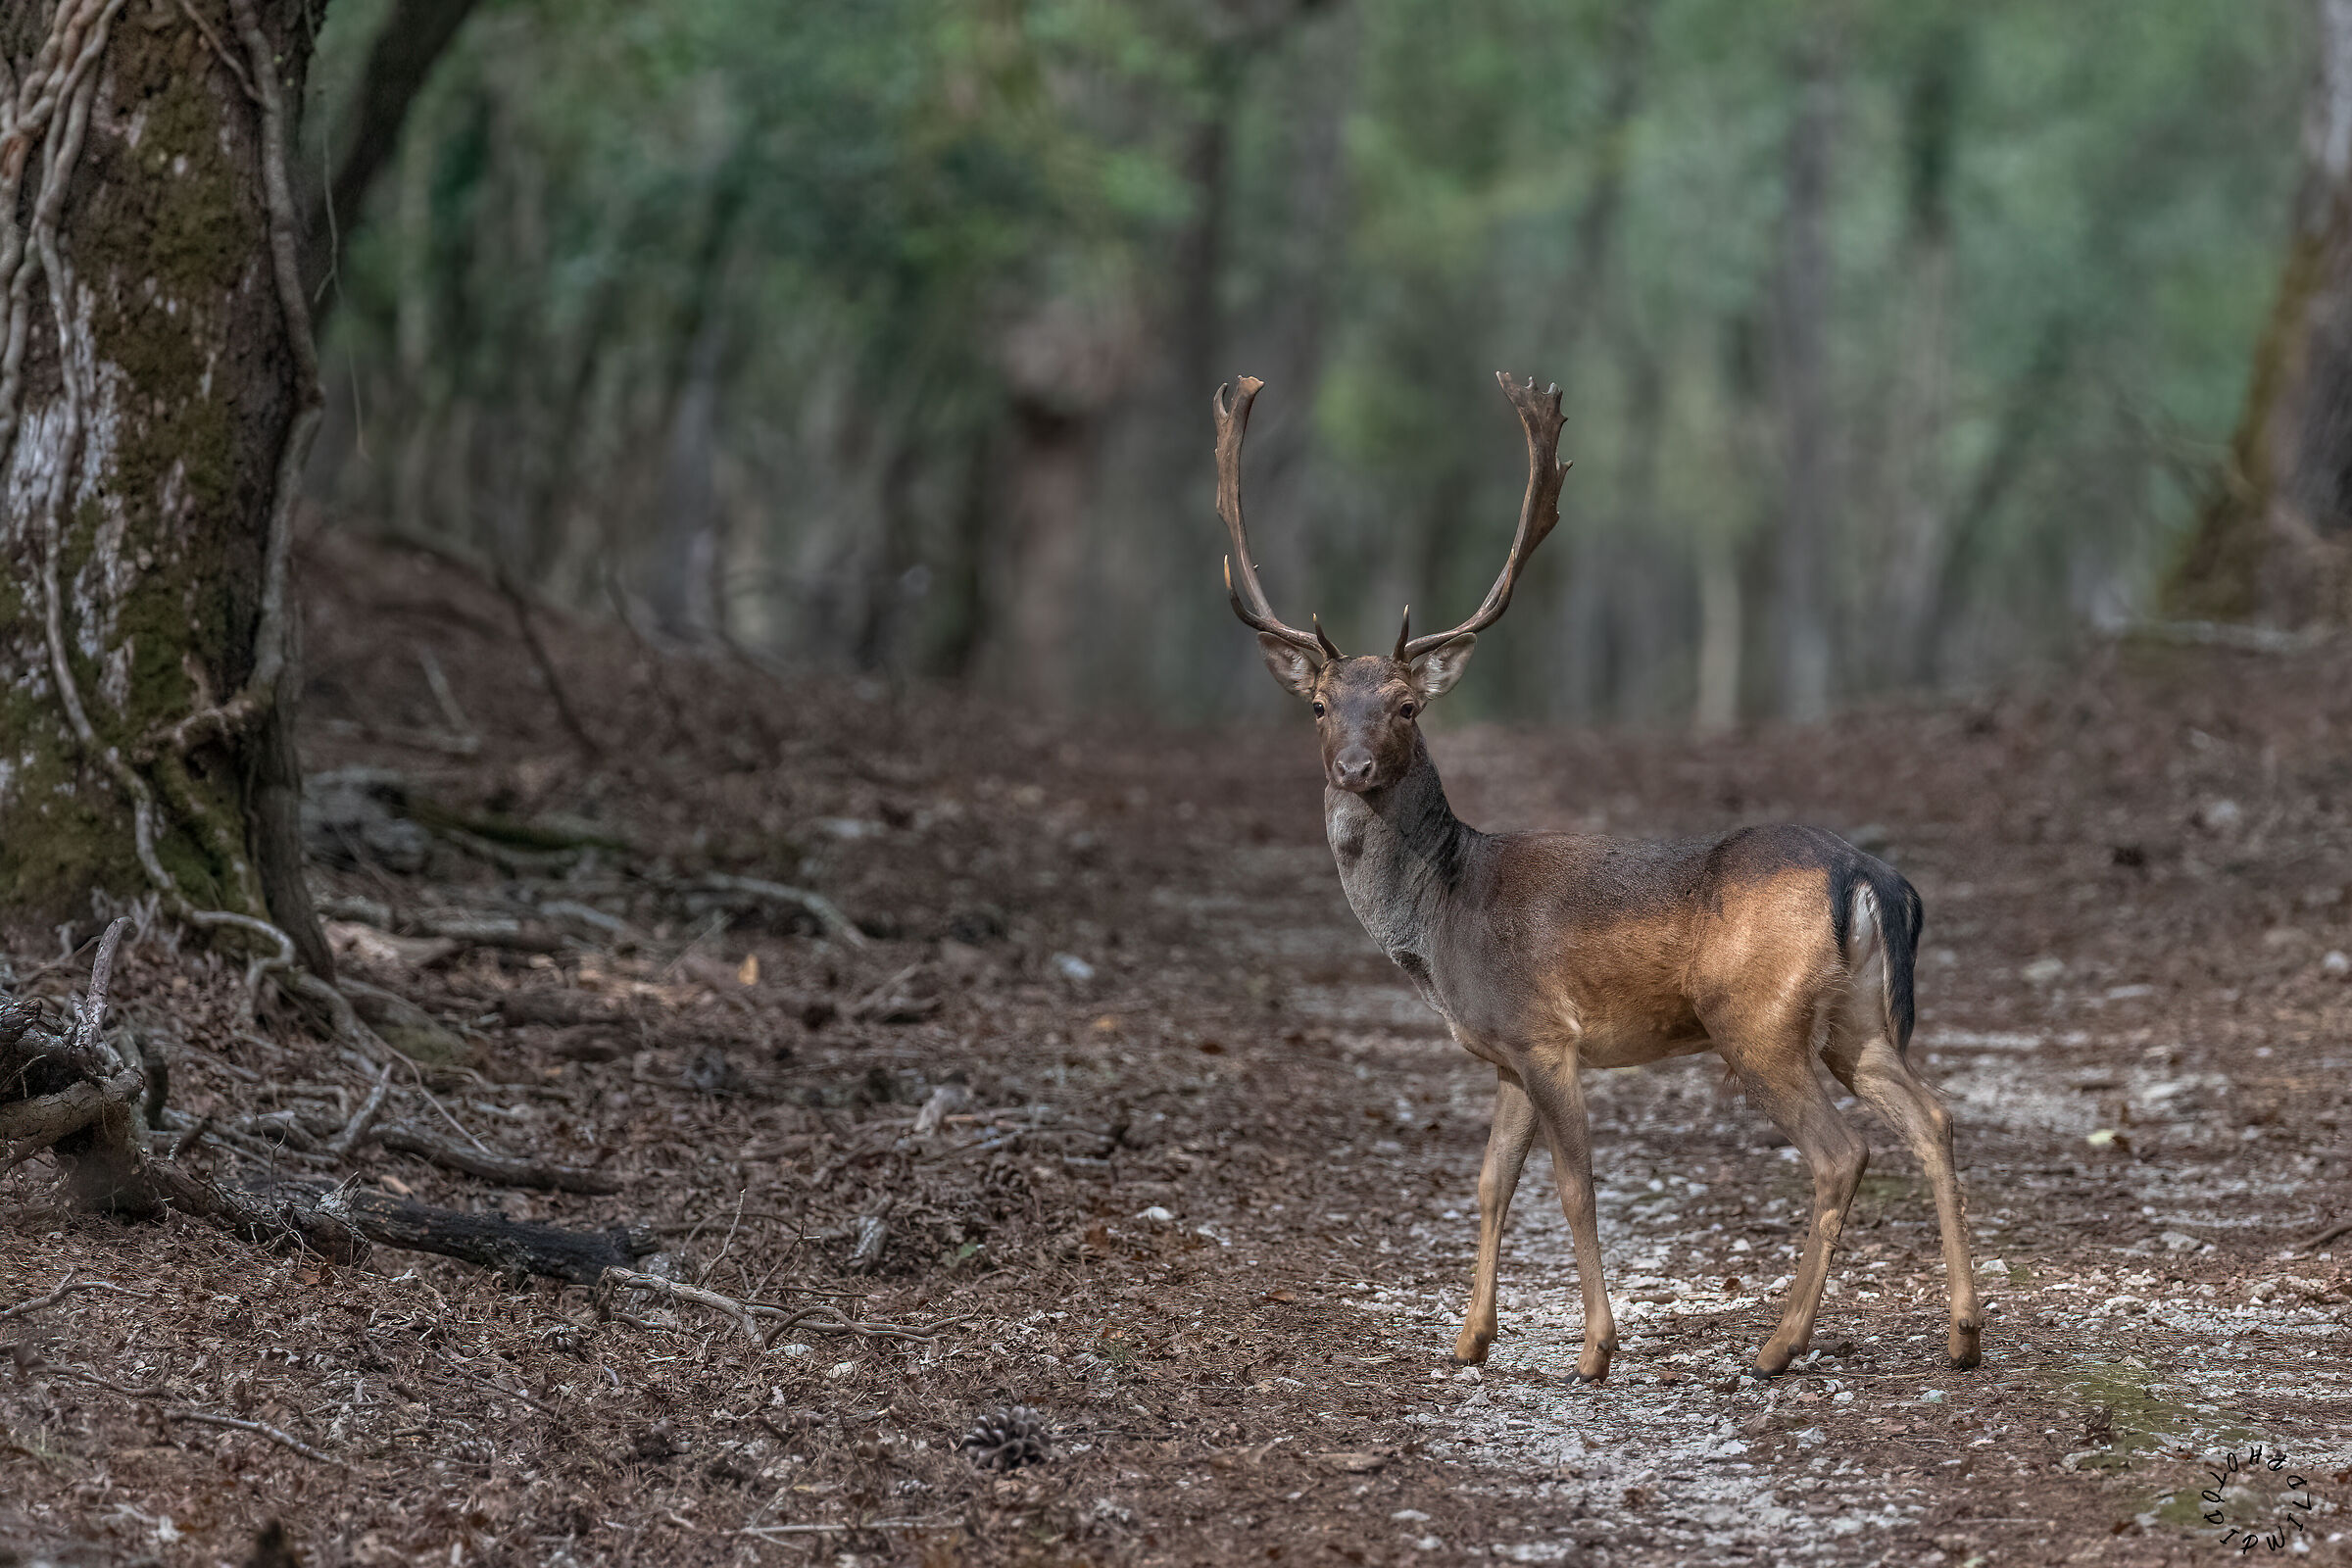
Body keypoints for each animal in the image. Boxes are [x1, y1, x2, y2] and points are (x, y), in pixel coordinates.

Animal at [1212, 371, 1980, 1382]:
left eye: (1408, 706)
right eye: (1319, 704)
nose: (1355, 767)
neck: (1442, 917)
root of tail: (1869, 877)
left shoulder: (1547, 1036)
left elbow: (1574, 1188)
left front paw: (1594, 1349)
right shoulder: (1502, 1050)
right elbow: (1490, 1183)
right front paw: (1470, 1339)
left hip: (1756, 1015)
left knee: (1840, 1152)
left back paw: (1778, 1344)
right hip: (1857, 1018)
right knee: (1933, 1117)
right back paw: (1963, 1334)